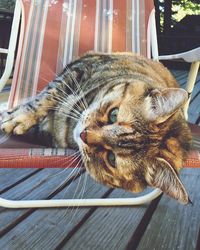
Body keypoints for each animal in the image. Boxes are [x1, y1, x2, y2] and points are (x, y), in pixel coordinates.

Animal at [1, 51, 192, 204]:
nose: (84, 134)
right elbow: (48, 95)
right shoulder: (79, 67)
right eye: (114, 114)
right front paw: (19, 117)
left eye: (111, 158)